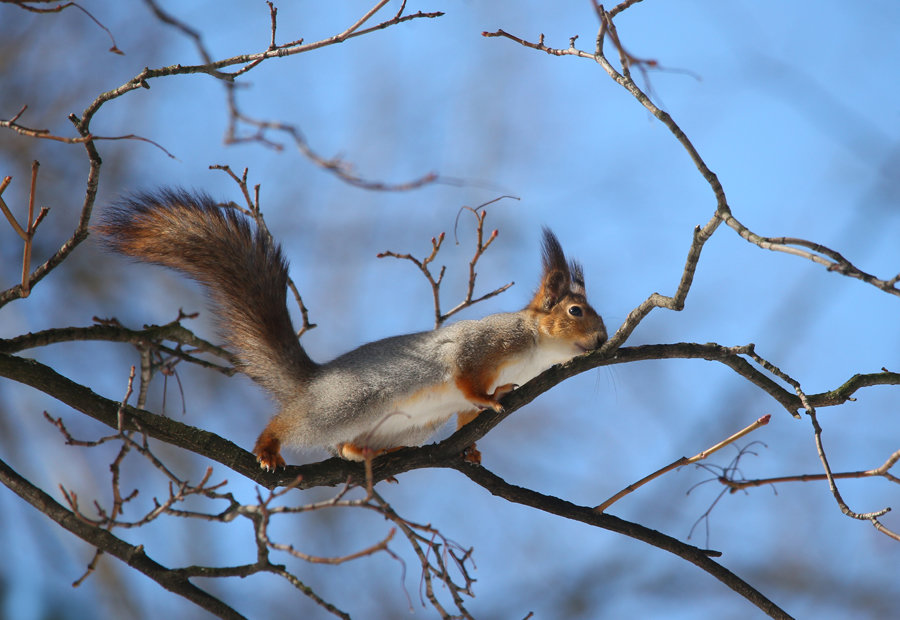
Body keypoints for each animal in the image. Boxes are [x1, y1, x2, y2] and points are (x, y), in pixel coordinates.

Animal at [96, 189, 604, 470]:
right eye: (576, 311)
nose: (602, 339)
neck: (534, 350)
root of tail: (312, 383)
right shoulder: (482, 346)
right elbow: (464, 379)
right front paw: (492, 399)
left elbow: (465, 413)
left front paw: (473, 449)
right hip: (344, 403)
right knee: (297, 423)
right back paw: (268, 446)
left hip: (401, 427)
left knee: (343, 448)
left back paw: (370, 456)